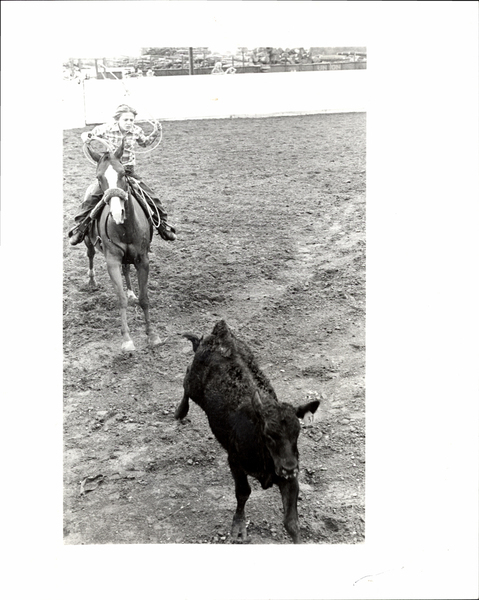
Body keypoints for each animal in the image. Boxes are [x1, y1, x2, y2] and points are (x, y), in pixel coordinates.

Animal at [84, 137, 161, 352]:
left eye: (123, 173)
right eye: (99, 177)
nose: (117, 213)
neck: (126, 228)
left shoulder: (143, 260)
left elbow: (144, 298)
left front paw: (152, 334)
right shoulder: (112, 262)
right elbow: (121, 299)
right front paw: (127, 339)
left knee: (127, 269)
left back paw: (131, 290)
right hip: (89, 242)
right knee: (90, 255)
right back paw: (92, 280)